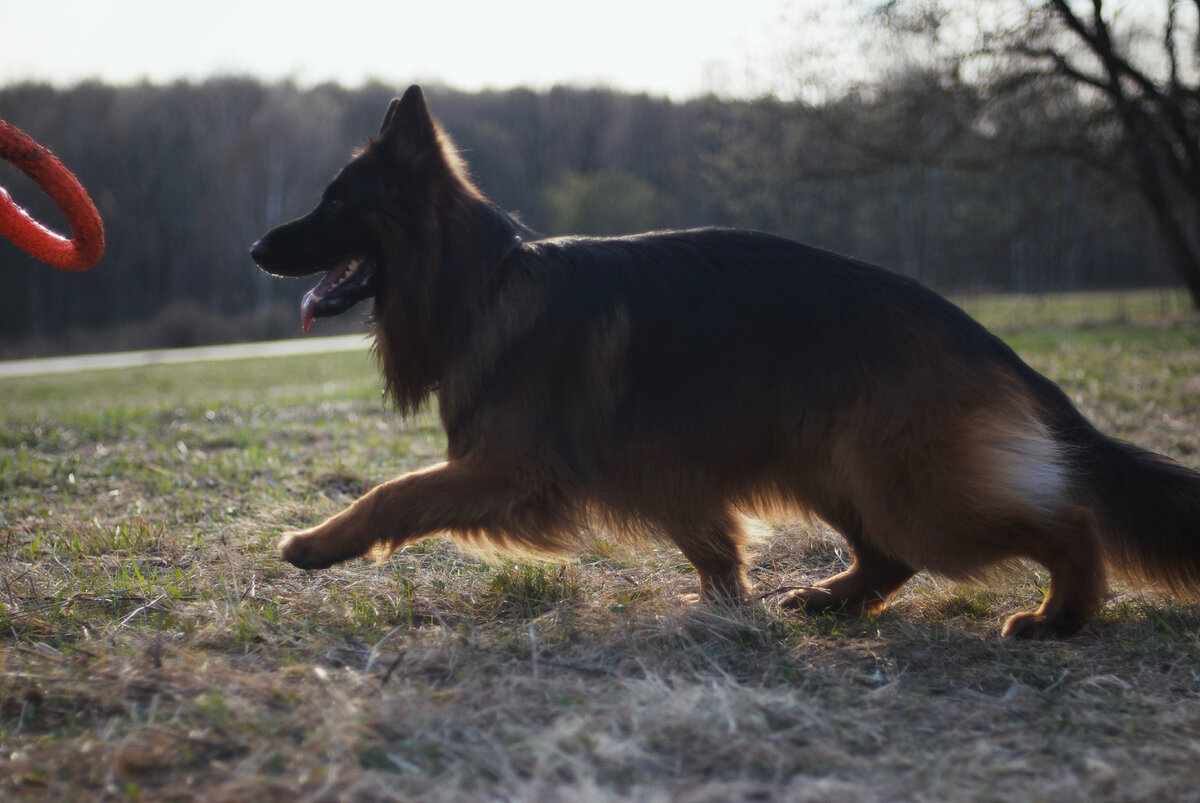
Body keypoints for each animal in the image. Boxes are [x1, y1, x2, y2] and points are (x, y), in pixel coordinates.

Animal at [246, 86, 1200, 638]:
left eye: (336, 203)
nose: (255, 247)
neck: (482, 280)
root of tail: (977, 333)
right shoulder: (664, 470)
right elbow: (708, 542)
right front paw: (722, 605)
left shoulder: (511, 470)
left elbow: (394, 493)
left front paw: (319, 542)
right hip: (833, 463)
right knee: (892, 556)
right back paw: (833, 600)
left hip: (906, 483)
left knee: (1065, 520)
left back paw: (1062, 614)